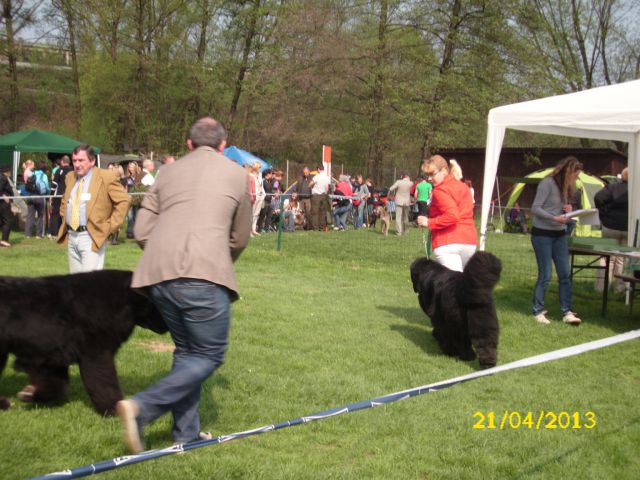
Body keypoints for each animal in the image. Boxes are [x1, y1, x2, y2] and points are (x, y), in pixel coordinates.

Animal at [0, 270, 165, 416]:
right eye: (158, 302)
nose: (166, 326)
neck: (122, 302)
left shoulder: (52, 357)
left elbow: (57, 387)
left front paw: (30, 394)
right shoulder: (97, 355)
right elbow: (105, 383)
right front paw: (114, 409)